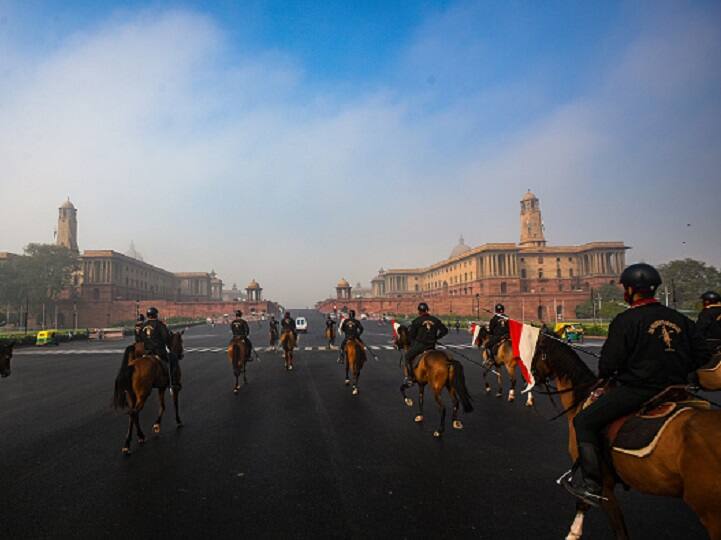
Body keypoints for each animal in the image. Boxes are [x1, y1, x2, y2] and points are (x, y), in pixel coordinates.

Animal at [528, 334, 720, 540]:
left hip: (712, 515)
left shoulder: (603, 484)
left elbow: (595, 510)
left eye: (535, 350)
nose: (530, 377)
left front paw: (573, 533)